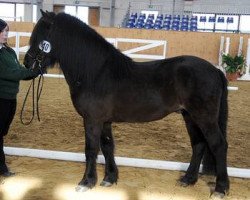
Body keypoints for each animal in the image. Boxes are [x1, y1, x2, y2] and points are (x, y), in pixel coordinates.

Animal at [24, 10, 229, 197]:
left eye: (40, 37)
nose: (27, 63)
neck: (95, 73)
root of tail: (215, 70)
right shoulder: (104, 121)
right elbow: (107, 146)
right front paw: (109, 178)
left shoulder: (92, 119)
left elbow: (91, 149)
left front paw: (86, 182)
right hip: (189, 116)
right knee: (199, 144)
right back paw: (188, 179)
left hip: (204, 117)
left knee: (218, 145)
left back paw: (220, 188)